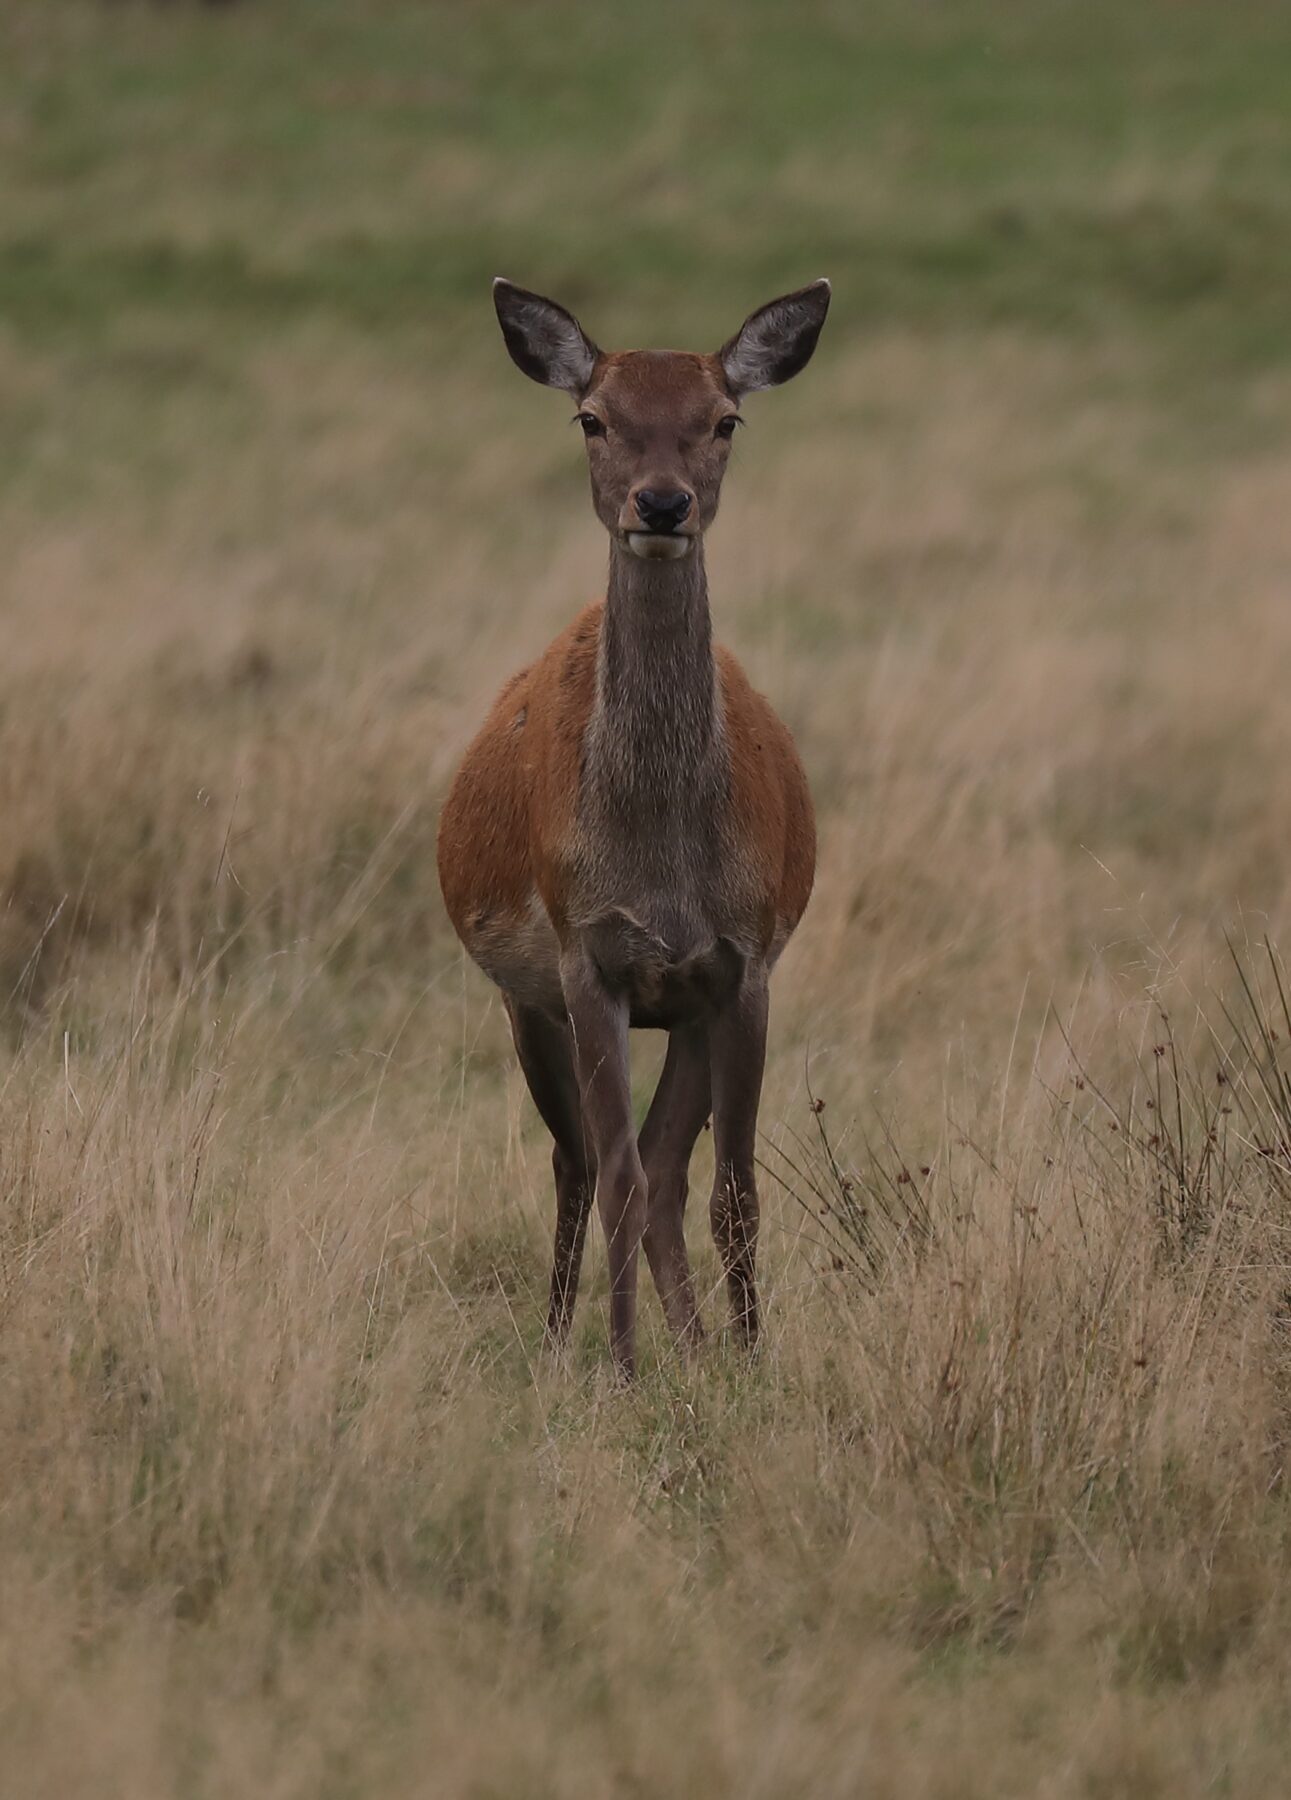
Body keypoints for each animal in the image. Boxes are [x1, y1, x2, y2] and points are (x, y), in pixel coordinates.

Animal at [435, 277, 824, 1375]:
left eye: (724, 419)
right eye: (593, 419)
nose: (660, 502)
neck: (658, 869)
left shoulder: (741, 963)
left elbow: (732, 1190)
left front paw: (748, 1362)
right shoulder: (586, 956)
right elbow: (615, 1176)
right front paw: (617, 1366)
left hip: (680, 1008)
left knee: (664, 1166)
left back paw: (689, 1345)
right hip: (525, 1000)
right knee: (579, 1163)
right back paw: (563, 1341)